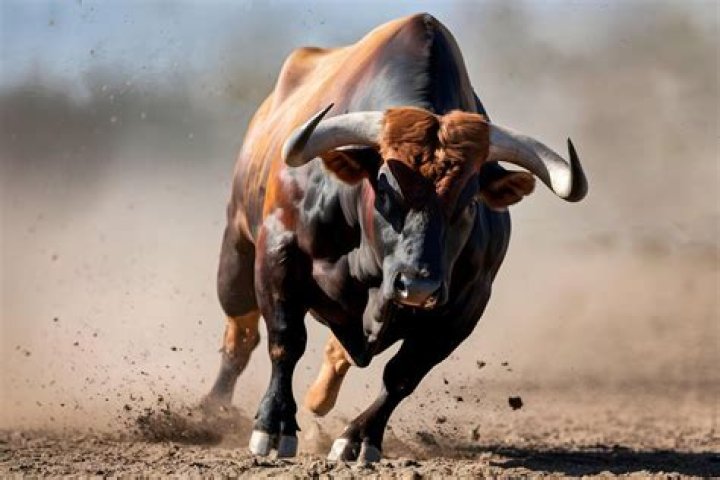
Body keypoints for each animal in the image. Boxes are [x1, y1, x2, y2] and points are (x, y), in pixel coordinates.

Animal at [202, 13, 587, 462]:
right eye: (385, 190)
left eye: (470, 202)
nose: (417, 285)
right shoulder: (279, 252)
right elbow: (285, 340)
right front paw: (274, 424)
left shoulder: (464, 305)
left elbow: (403, 375)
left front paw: (358, 438)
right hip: (236, 250)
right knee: (241, 334)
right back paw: (213, 407)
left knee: (340, 351)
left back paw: (318, 400)